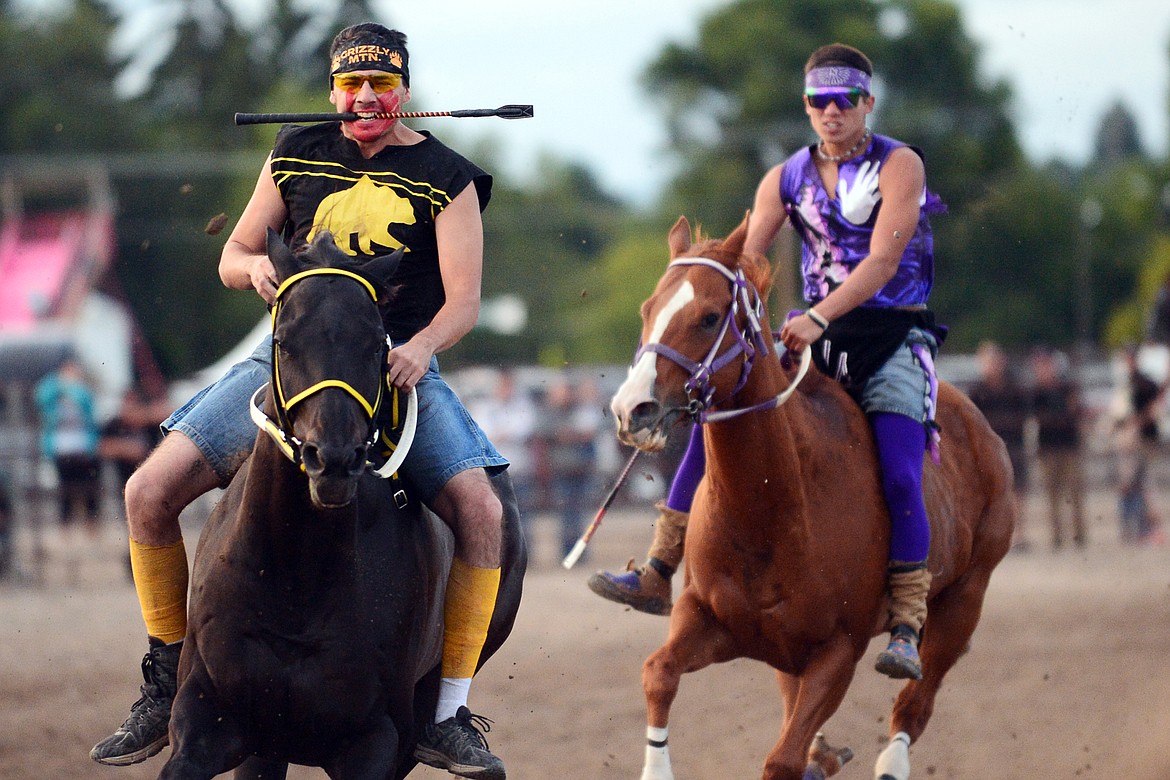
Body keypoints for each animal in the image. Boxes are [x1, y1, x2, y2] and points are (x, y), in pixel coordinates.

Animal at [157, 230, 528, 780]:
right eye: (283, 341)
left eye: (377, 344)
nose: (332, 458)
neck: (295, 579)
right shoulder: (209, 720)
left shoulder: (376, 742)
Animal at [613, 215, 1015, 780]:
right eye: (649, 310)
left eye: (710, 317)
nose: (632, 409)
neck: (772, 510)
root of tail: (986, 433)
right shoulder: (708, 621)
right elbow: (658, 673)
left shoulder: (838, 651)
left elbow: (782, 759)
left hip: (963, 602)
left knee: (914, 705)